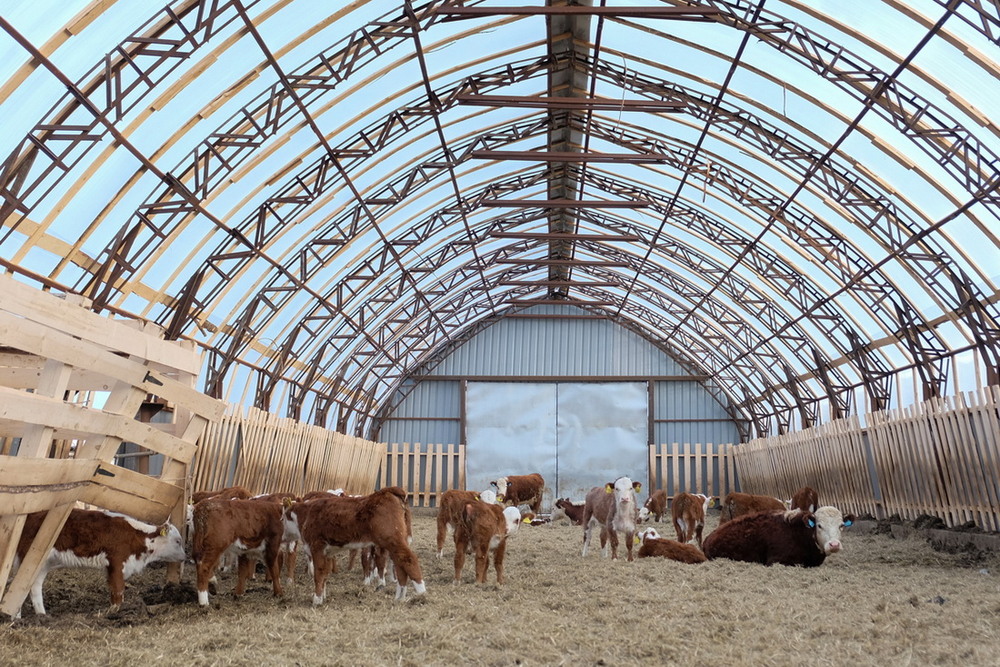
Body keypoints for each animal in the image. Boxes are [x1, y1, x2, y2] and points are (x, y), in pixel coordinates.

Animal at [13, 512, 186, 616]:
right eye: (178, 541)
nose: (185, 557)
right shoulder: (116, 562)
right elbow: (118, 590)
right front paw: (115, 612)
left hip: (42, 564)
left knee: (33, 586)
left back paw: (41, 615)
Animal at [284, 486, 424, 604]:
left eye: (282, 518)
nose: (283, 537)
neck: (307, 514)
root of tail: (387, 491)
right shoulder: (327, 553)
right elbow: (324, 575)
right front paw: (322, 597)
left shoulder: (317, 548)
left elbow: (318, 574)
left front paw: (316, 600)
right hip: (393, 543)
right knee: (399, 564)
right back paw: (400, 597)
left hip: (393, 540)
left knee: (409, 559)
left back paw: (421, 593)